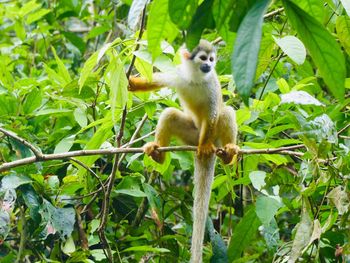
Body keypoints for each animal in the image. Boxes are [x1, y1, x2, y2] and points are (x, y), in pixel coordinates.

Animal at [129, 40, 241, 262]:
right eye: (203, 58)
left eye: (212, 59)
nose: (209, 65)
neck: (197, 78)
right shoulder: (179, 74)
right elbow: (156, 81)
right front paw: (134, 83)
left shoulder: (212, 84)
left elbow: (212, 116)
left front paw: (205, 146)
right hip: (190, 136)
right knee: (170, 114)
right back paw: (158, 154)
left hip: (213, 138)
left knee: (225, 112)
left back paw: (225, 153)